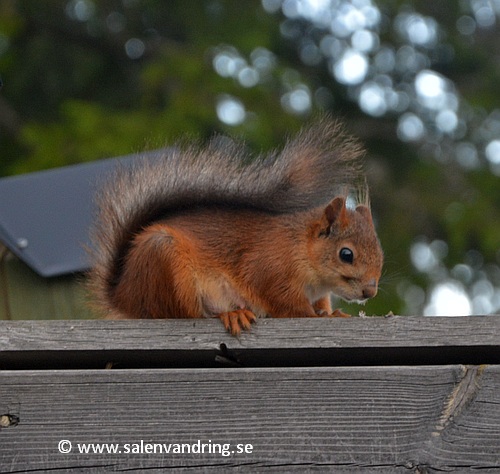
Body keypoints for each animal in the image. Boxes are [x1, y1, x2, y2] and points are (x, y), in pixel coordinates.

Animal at [87, 116, 382, 336]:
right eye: (346, 254)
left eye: (380, 254)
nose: (370, 291)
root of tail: (124, 297)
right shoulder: (270, 269)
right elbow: (289, 306)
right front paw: (322, 318)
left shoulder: (317, 293)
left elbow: (320, 304)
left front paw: (333, 312)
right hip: (165, 264)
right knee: (182, 314)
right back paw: (231, 313)